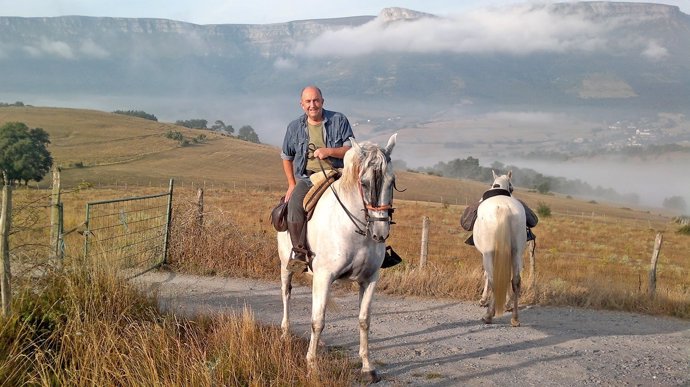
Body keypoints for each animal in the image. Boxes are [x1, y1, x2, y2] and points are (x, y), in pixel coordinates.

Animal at [276, 133, 398, 382]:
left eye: (392, 182)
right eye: (364, 183)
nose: (380, 233)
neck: (355, 230)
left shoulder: (370, 279)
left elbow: (364, 321)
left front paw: (368, 368)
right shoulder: (325, 276)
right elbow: (318, 321)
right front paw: (312, 365)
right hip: (286, 266)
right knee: (286, 294)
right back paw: (285, 332)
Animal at [472, 171, 520, 326]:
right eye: (512, 187)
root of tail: (504, 208)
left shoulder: (485, 254)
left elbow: (486, 275)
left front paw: (483, 300)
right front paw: (508, 304)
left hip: (489, 254)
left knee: (493, 279)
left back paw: (488, 315)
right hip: (517, 252)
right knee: (516, 280)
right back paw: (515, 318)